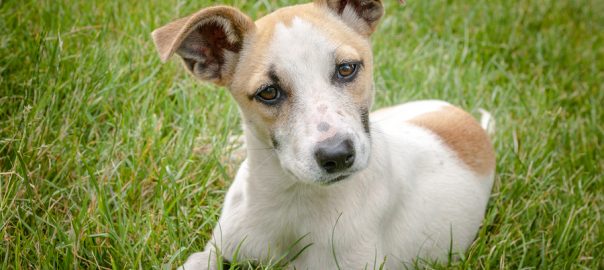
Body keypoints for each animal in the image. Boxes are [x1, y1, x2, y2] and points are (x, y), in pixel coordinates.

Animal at [152, 1, 496, 268]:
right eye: (268, 92)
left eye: (346, 69)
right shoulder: (216, 248)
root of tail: (469, 121)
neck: (293, 198)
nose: (338, 156)